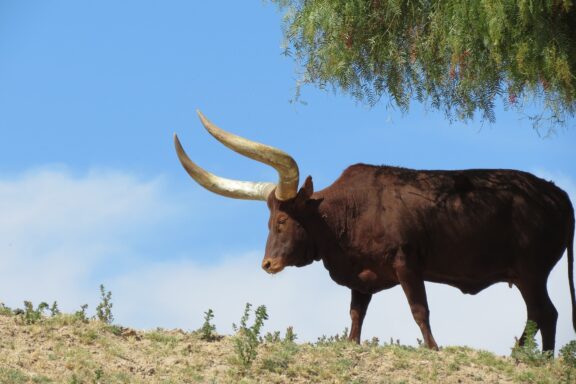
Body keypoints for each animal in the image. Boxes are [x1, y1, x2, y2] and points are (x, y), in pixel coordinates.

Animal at [176, 110, 576, 352]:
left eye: (282, 222)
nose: (268, 265)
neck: (345, 212)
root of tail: (557, 194)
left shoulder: (407, 264)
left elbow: (419, 310)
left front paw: (433, 348)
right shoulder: (362, 279)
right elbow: (355, 316)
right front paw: (351, 344)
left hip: (532, 272)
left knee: (546, 314)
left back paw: (538, 360)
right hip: (526, 275)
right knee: (538, 316)